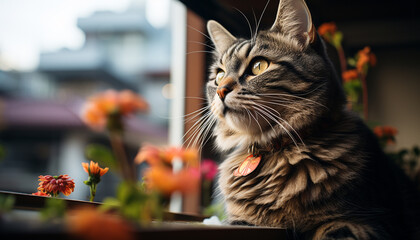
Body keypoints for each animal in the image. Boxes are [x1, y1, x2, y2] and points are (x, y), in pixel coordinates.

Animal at [205, 0, 420, 238]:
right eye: (219, 76)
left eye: (259, 66)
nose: (221, 90)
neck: (276, 149)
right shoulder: (241, 221)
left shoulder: (365, 222)